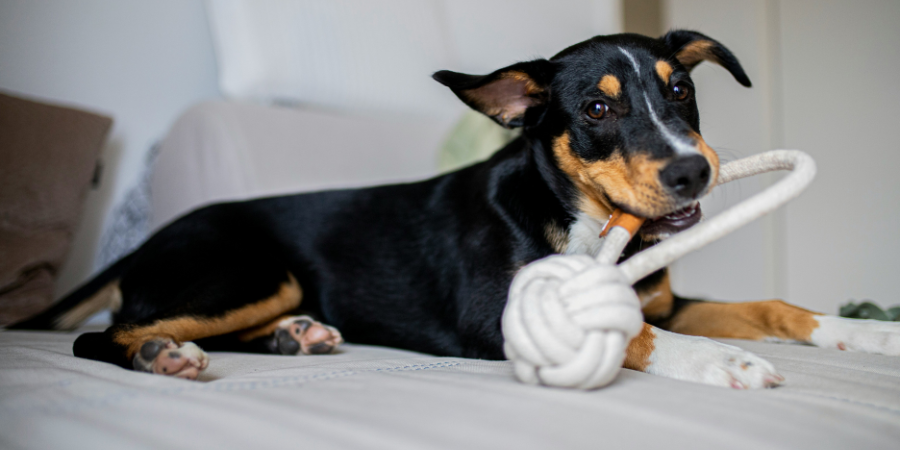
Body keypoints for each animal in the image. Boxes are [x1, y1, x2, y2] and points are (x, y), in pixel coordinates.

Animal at [10, 29, 896, 386]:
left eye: (680, 91)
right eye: (597, 110)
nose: (692, 172)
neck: (576, 218)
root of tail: (148, 241)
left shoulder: (667, 300)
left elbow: (773, 306)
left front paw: (867, 333)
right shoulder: (497, 318)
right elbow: (635, 336)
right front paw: (723, 364)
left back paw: (297, 339)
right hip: (250, 271)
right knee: (106, 335)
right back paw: (165, 356)